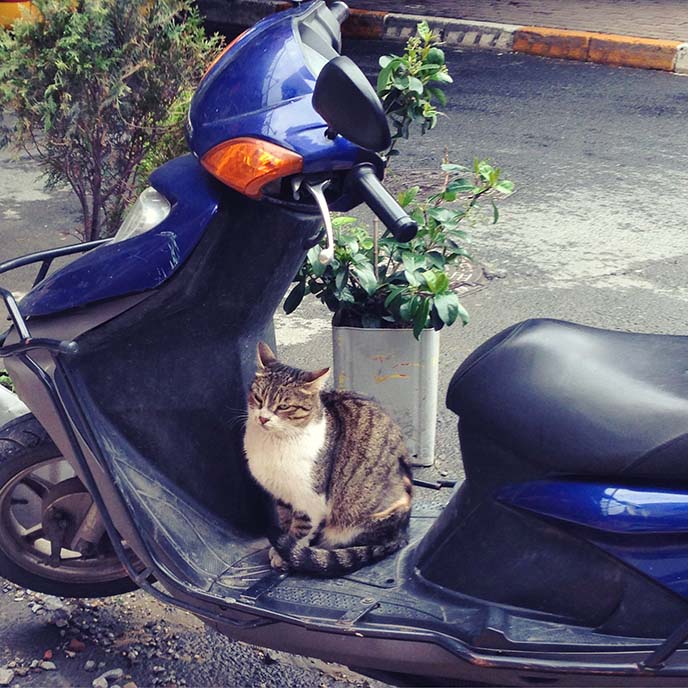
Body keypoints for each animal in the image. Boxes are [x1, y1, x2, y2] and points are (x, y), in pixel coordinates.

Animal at [243, 342, 414, 576]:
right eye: (258, 398)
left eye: (284, 406)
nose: (262, 418)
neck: (273, 443)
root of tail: (403, 533)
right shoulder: (282, 495)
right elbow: (286, 522)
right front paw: (280, 546)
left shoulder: (310, 499)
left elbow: (300, 530)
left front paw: (284, 554)